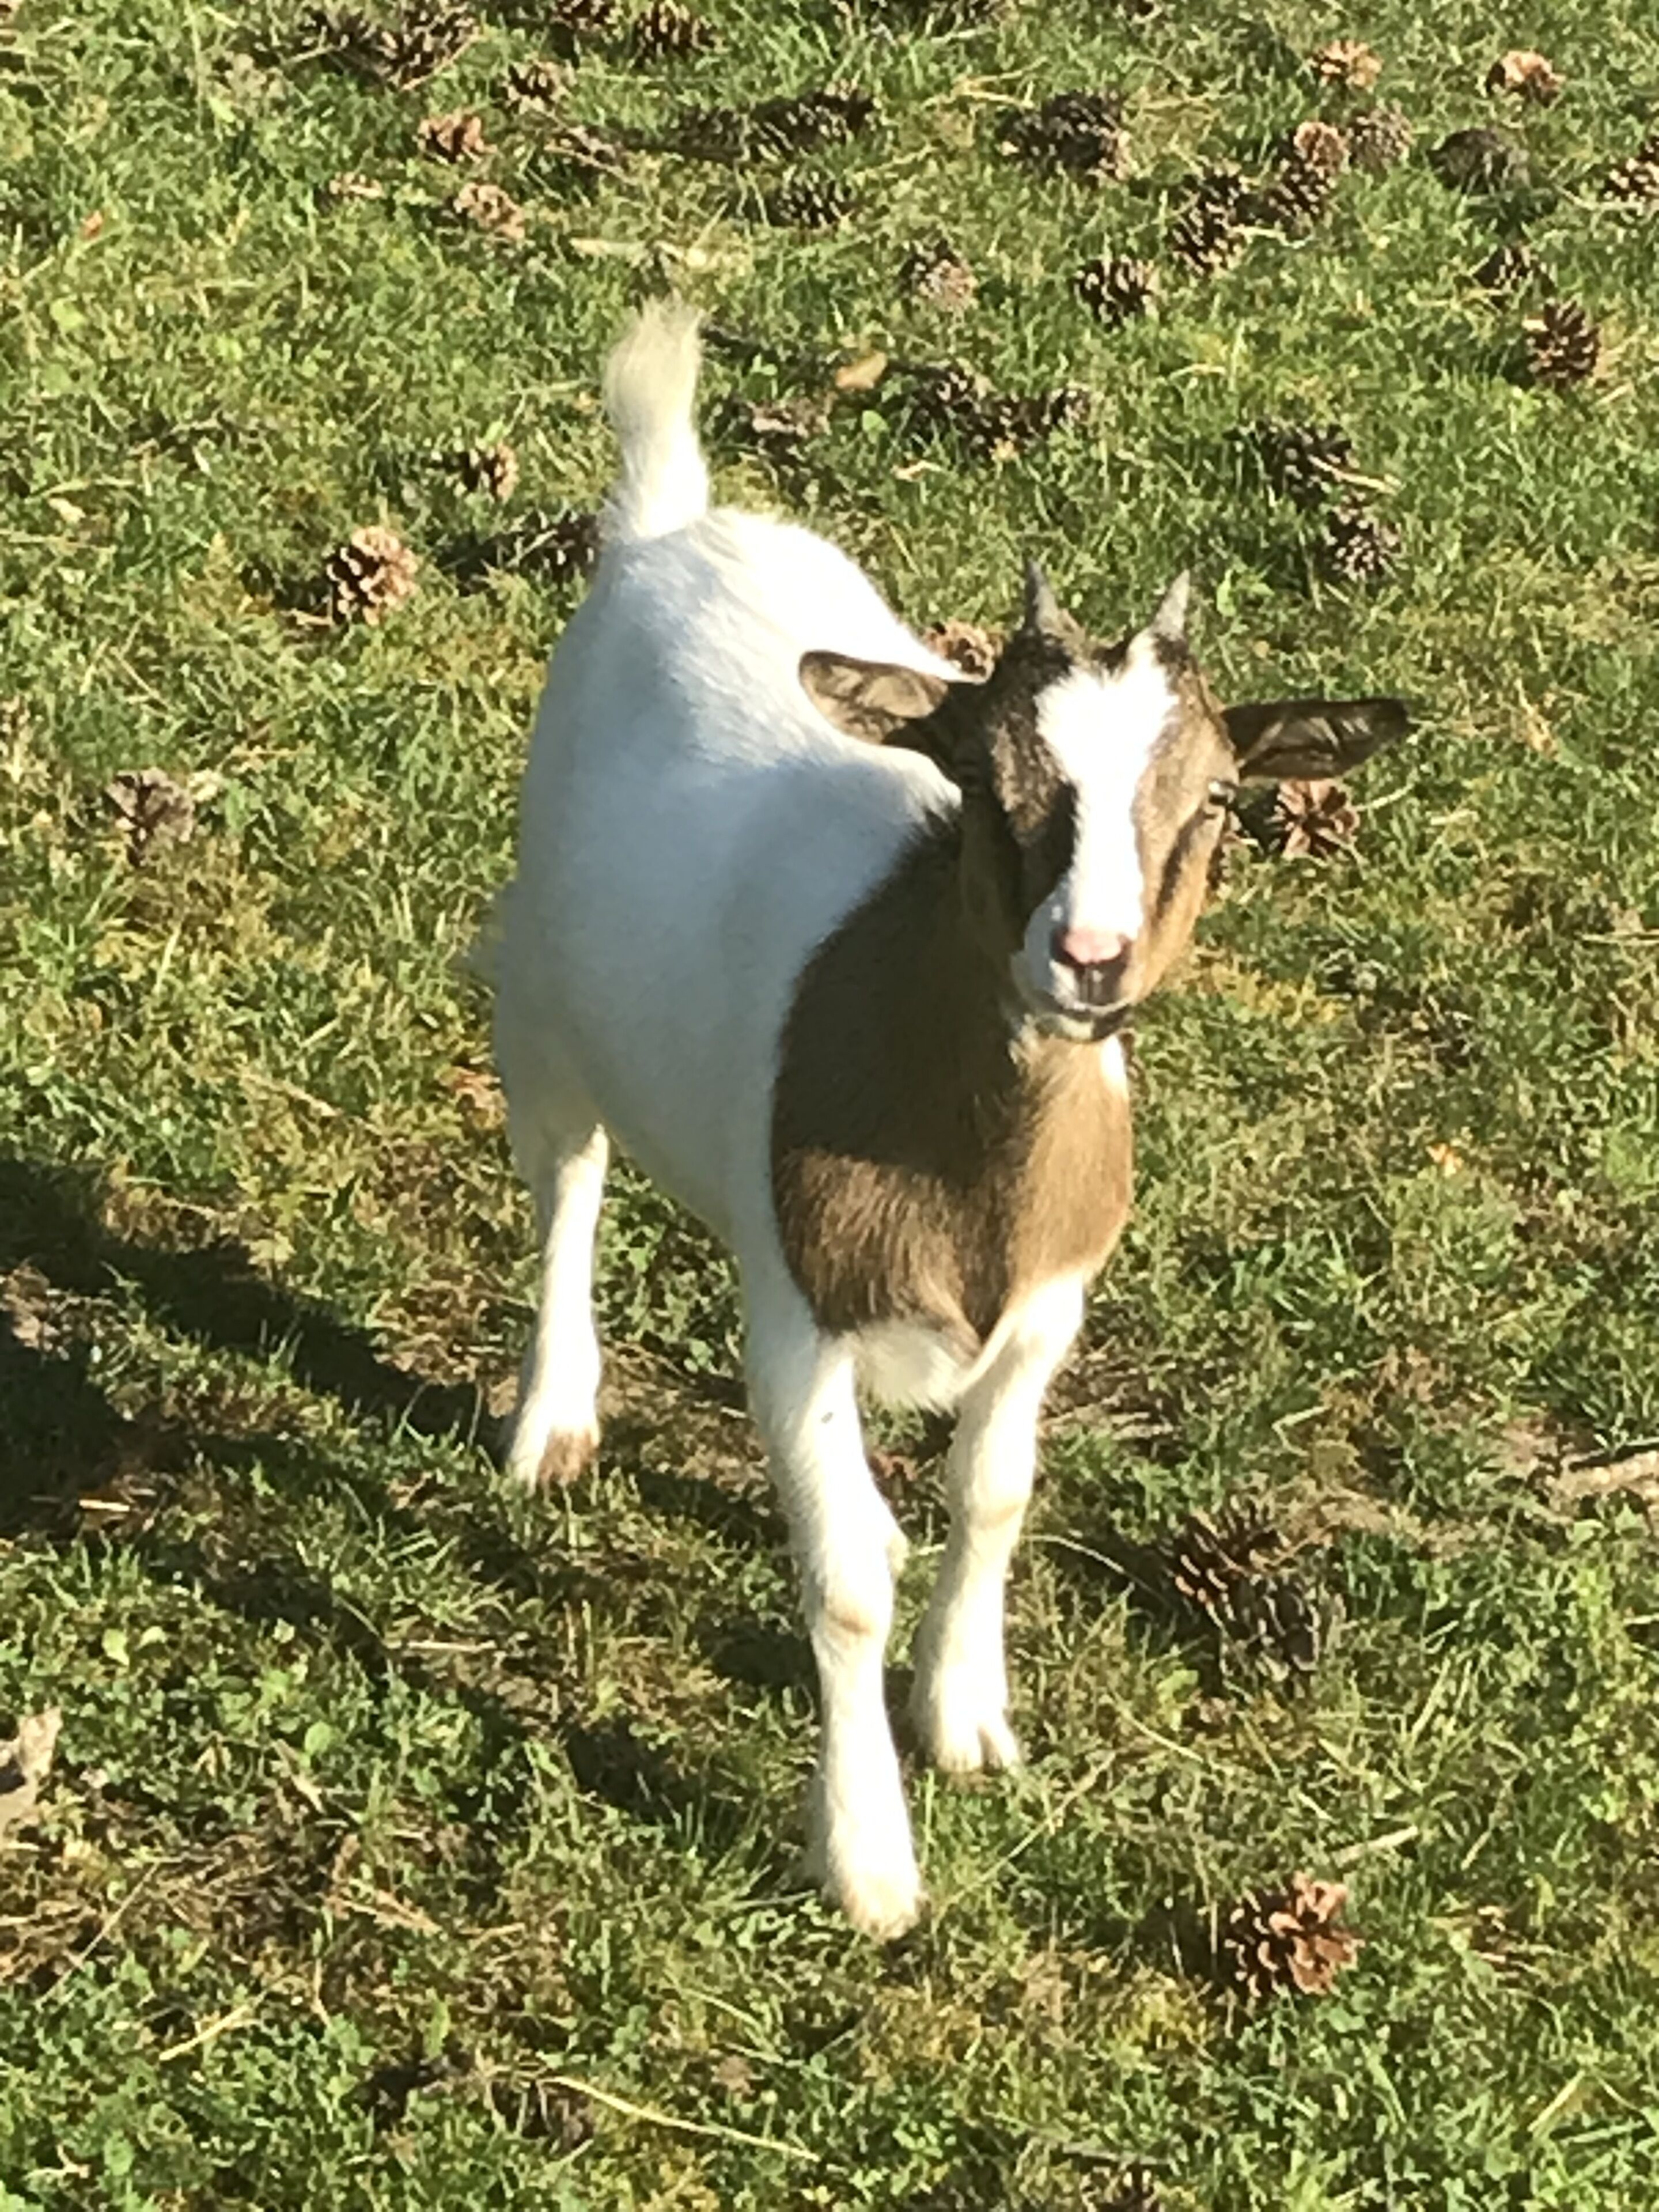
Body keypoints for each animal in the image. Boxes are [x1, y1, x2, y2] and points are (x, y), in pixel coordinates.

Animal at [489, 301, 1408, 1938]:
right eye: (984, 778)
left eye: (1215, 801)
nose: (1088, 956)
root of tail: (671, 518)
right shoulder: (798, 1318)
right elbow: (852, 1572)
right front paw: (866, 1857)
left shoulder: (1050, 1308)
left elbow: (992, 1494)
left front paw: (968, 1716)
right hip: (536, 983)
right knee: (567, 1179)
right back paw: (553, 1416)